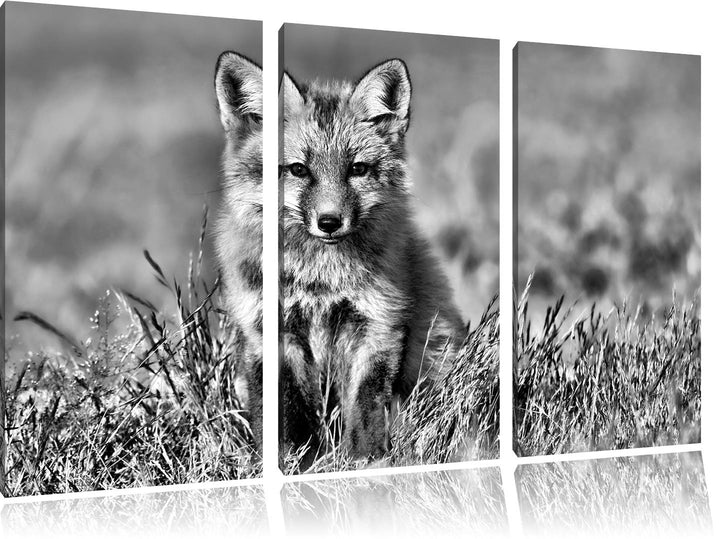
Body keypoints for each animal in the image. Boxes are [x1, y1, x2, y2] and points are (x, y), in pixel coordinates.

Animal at [281, 58, 467, 460]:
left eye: (358, 169)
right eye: (299, 170)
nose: (329, 222)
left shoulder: (377, 325)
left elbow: (366, 401)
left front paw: (365, 460)